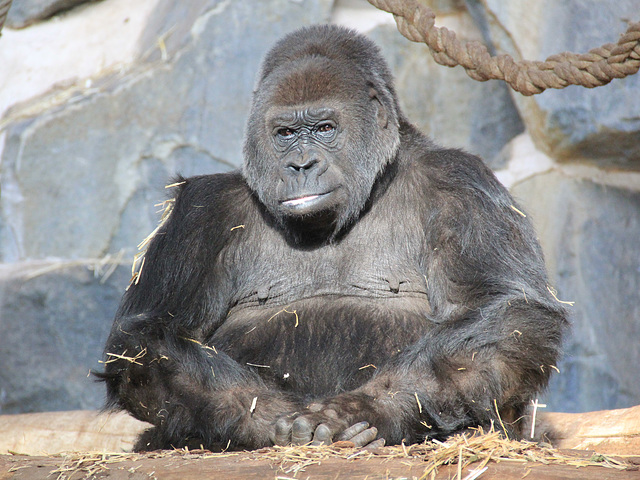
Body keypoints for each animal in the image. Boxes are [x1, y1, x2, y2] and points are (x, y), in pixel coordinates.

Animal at [100, 24, 568, 452]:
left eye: (324, 128)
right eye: (285, 134)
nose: (301, 165)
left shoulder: (463, 184)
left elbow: (509, 315)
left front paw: (363, 410)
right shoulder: (201, 213)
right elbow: (147, 340)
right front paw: (265, 416)